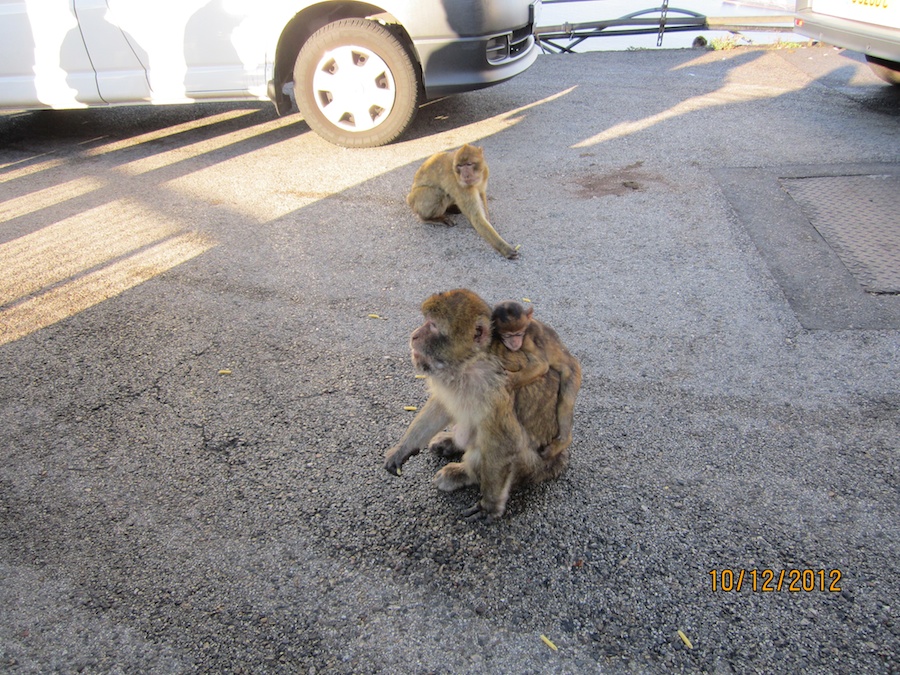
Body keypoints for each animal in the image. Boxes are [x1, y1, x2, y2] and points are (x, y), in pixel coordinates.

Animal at [492, 304, 584, 462]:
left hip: (573, 373)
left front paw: (509, 381)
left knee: (565, 402)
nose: (514, 342)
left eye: (518, 334)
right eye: (508, 335)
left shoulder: (526, 341)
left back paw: (564, 441)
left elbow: (541, 365)